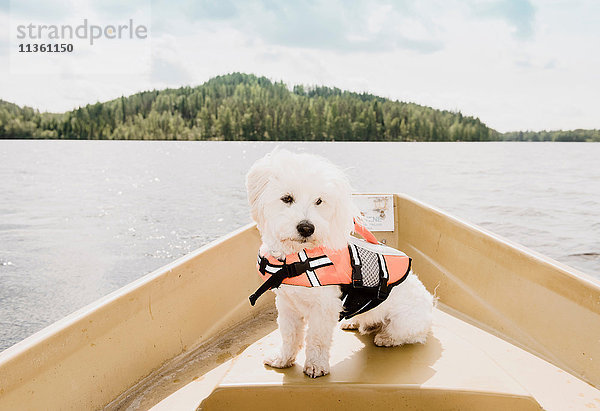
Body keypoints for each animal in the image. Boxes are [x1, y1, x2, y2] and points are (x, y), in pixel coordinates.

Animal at [246, 150, 434, 378]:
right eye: (287, 198)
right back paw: (354, 321)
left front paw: (316, 365)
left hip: (405, 321)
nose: (307, 227)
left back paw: (387, 337)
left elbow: (317, 340)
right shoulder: (287, 304)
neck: (297, 259)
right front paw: (282, 359)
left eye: (319, 201)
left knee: (412, 335)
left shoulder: (323, 308)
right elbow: (289, 336)